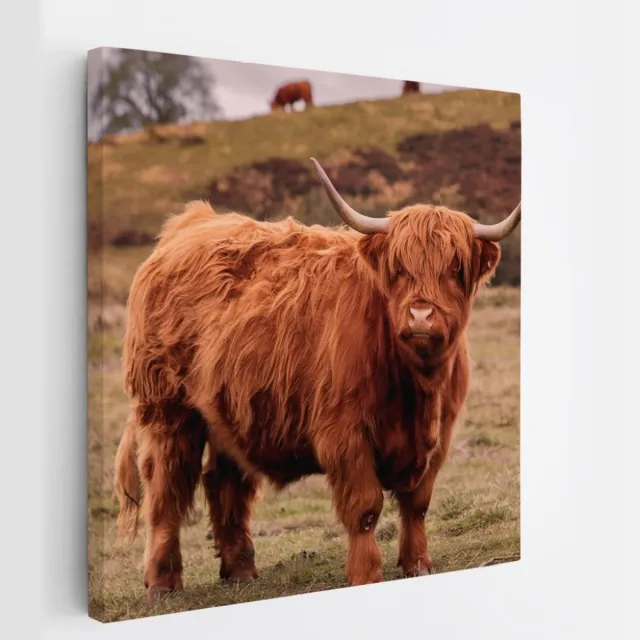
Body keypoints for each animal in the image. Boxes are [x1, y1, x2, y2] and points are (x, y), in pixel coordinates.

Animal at [114, 157, 521, 602]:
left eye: (455, 268)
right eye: (398, 269)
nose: (420, 317)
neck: (417, 386)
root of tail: (189, 223)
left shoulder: (439, 436)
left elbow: (417, 503)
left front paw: (418, 565)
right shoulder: (344, 434)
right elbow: (365, 508)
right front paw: (366, 574)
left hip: (227, 410)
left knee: (224, 482)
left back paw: (240, 570)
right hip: (166, 409)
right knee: (165, 489)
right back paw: (162, 583)